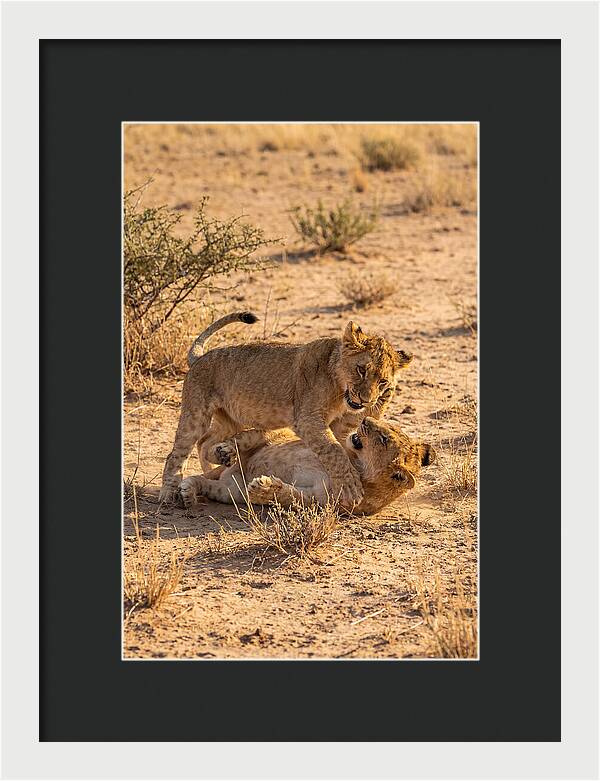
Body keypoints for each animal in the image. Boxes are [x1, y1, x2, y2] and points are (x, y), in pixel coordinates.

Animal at [159, 311, 413, 506]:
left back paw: (218, 462)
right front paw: (351, 486)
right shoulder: (308, 419)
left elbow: (340, 447)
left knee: (205, 442)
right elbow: (334, 450)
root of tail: (200, 357)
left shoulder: (341, 425)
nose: (366, 400)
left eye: (383, 382)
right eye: (361, 370)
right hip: (196, 413)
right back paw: (169, 493)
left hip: (231, 418)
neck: (340, 389)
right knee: (177, 453)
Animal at [179, 417, 436, 516]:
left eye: (383, 439)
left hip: (231, 491)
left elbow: (290, 496)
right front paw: (226, 450)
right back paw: (221, 454)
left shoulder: (318, 501)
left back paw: (188, 493)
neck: (355, 464)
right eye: (387, 426)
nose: (364, 419)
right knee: (248, 438)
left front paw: (264, 488)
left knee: (207, 483)